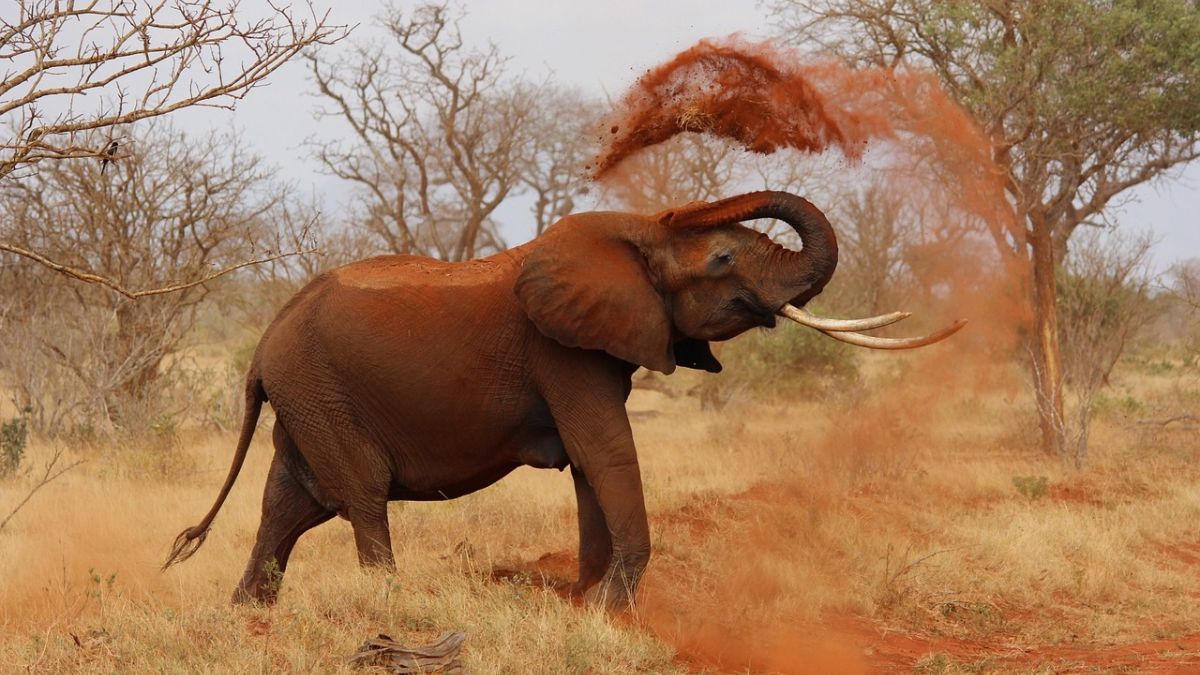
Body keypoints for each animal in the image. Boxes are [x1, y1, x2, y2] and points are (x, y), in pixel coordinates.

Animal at [163, 190, 961, 610]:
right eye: (724, 258)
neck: (634, 234)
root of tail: (264, 342)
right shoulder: (563, 352)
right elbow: (605, 451)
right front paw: (610, 609)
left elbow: (589, 464)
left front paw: (586, 600)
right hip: (319, 390)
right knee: (358, 494)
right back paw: (391, 605)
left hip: (306, 396)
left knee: (290, 503)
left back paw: (248, 615)